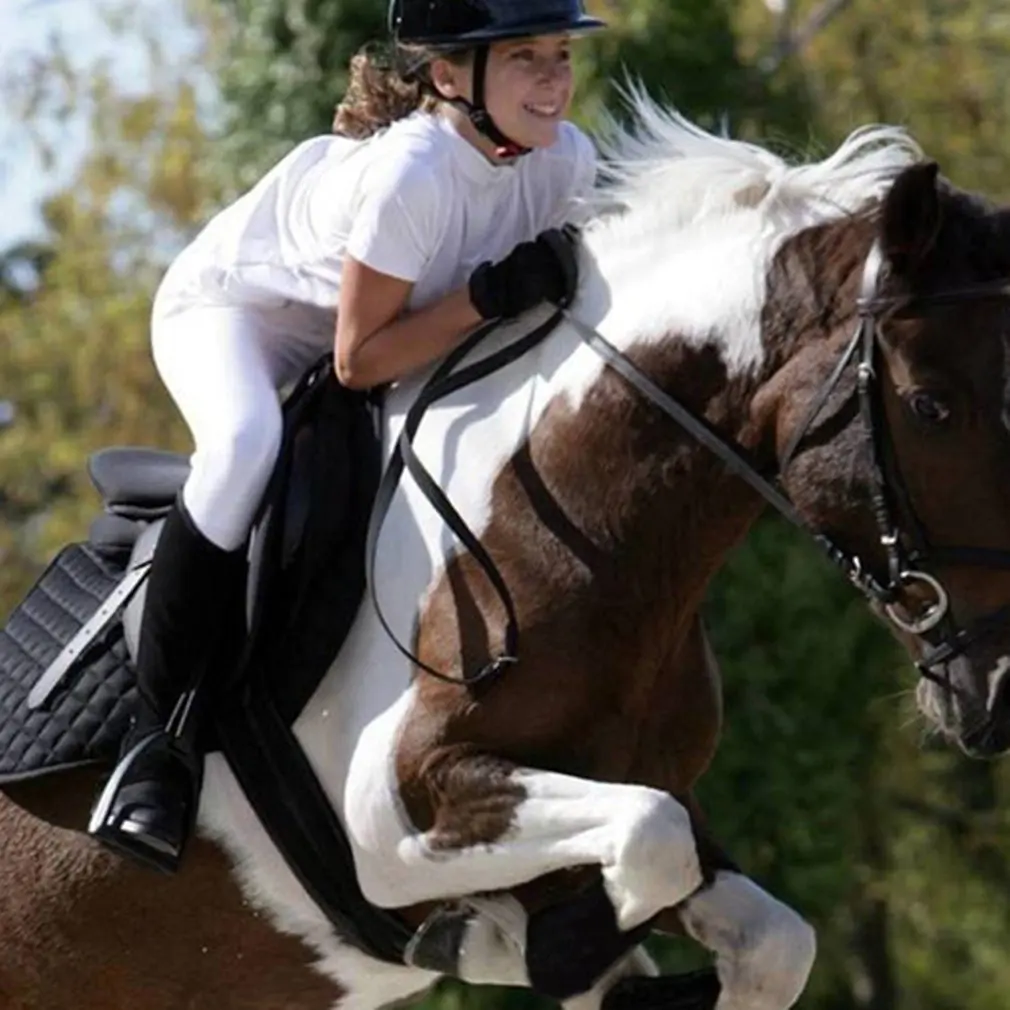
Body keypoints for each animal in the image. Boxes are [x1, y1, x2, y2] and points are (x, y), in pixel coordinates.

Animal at [1, 90, 1010, 1005]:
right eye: (930, 405)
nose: (998, 691)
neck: (592, 532)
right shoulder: (393, 816)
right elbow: (644, 850)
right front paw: (522, 947)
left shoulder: (637, 792)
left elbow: (759, 933)